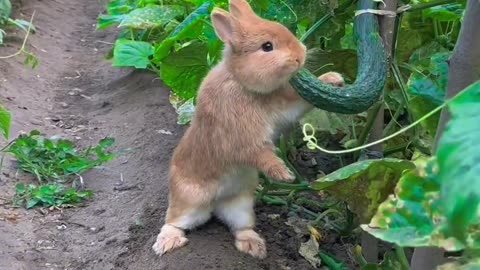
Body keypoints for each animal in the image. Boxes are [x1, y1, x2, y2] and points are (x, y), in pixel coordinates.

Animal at [152, 0, 344, 260]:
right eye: (267, 47)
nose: (300, 55)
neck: (241, 82)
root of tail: (216, 203)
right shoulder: (242, 137)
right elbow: (259, 154)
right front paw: (285, 175)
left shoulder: (284, 108)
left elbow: (300, 103)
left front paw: (333, 79)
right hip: (189, 202)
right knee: (174, 221)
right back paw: (167, 243)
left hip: (241, 206)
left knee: (241, 227)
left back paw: (255, 247)